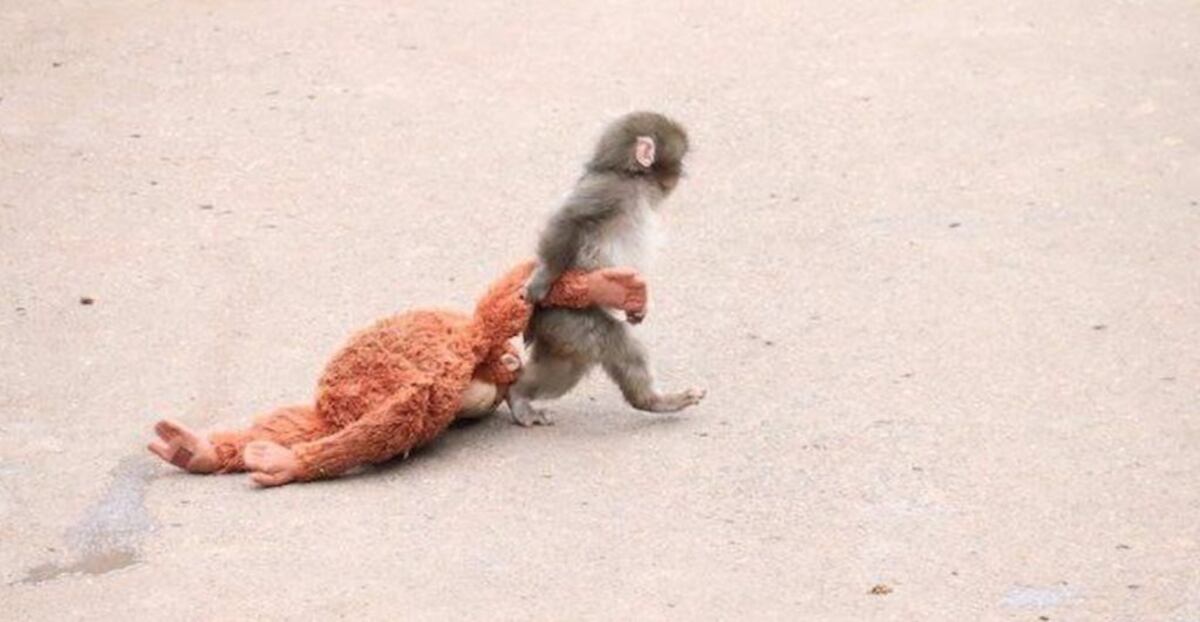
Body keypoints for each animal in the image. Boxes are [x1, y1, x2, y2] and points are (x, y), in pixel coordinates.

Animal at [508, 111, 706, 426]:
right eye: (680, 159)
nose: (681, 173)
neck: (629, 177)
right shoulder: (610, 191)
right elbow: (569, 219)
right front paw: (542, 279)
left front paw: (638, 308)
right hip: (568, 317)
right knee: (617, 343)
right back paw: (654, 401)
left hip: (561, 333)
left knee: (565, 368)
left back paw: (519, 393)